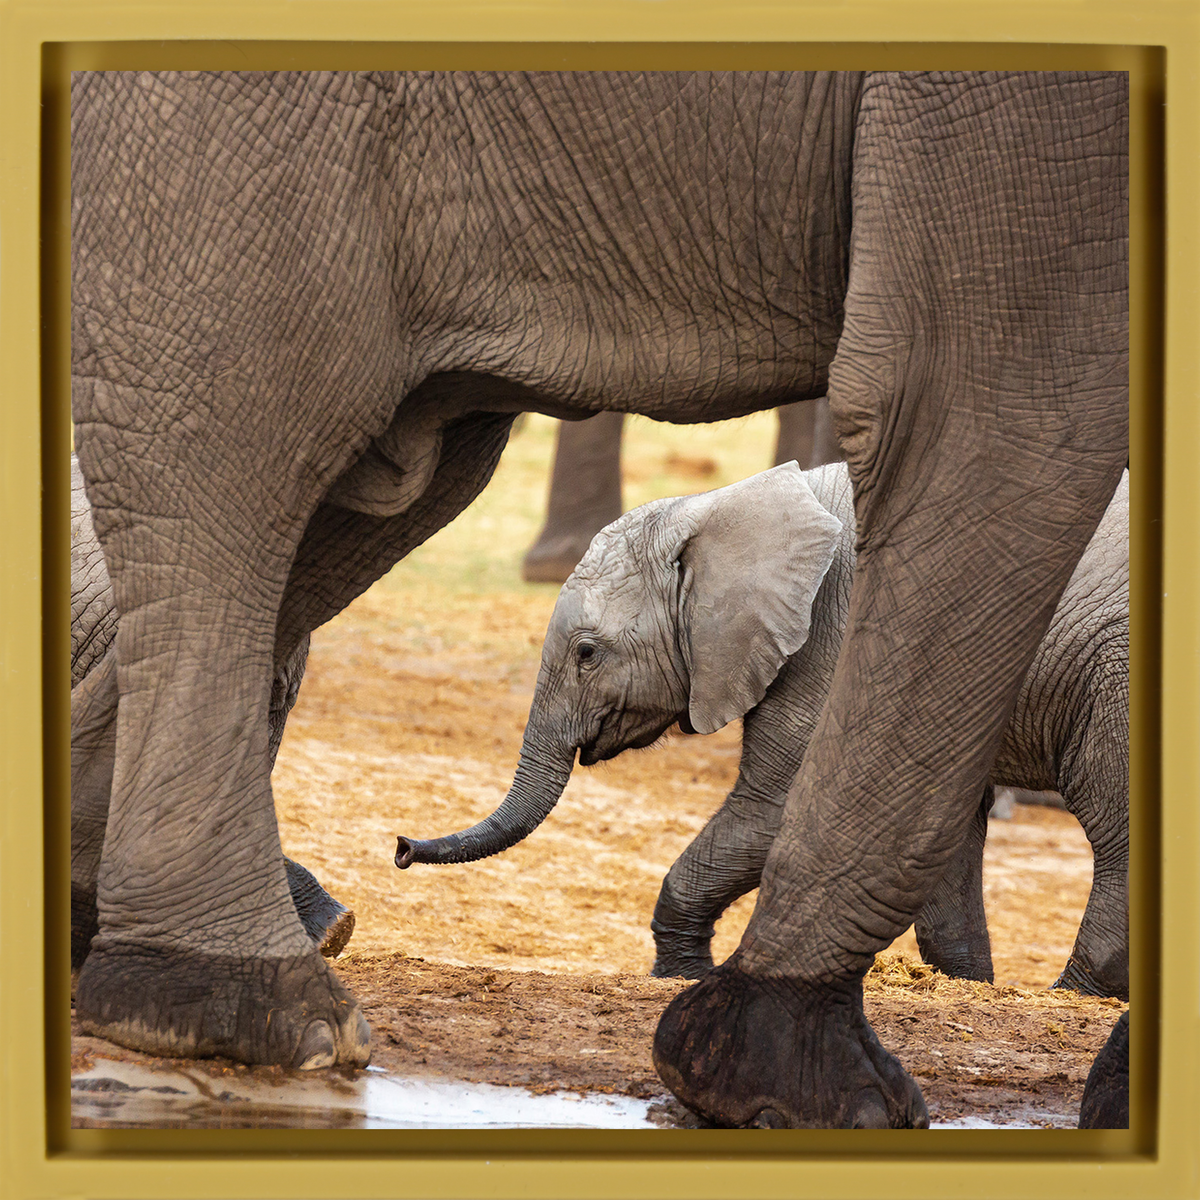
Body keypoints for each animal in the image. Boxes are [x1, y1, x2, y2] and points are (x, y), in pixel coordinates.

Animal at [397, 462, 1130, 1000]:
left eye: (586, 653)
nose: (401, 847)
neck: (727, 509)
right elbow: (935, 827)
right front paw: (965, 985)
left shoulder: (838, 642)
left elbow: (785, 808)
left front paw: (683, 977)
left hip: (1114, 675)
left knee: (1114, 825)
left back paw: (1077, 994)